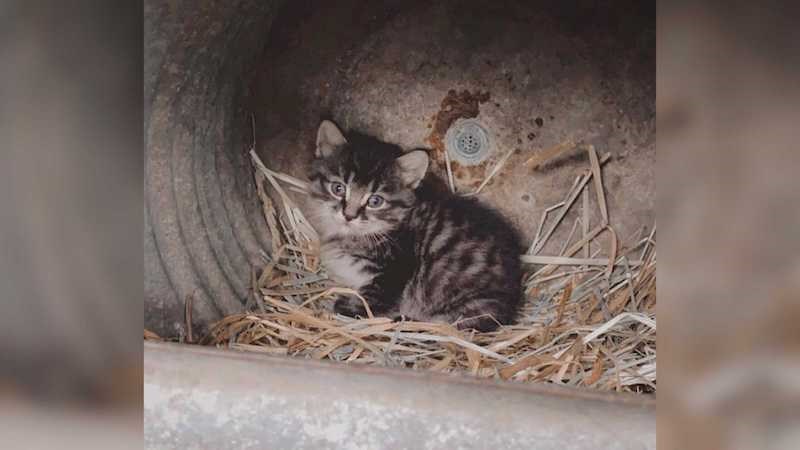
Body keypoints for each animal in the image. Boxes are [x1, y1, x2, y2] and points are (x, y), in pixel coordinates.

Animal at [306, 119, 524, 330]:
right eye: (338, 188)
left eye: (375, 201)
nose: (348, 216)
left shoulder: (394, 274)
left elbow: (371, 302)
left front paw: (340, 307)